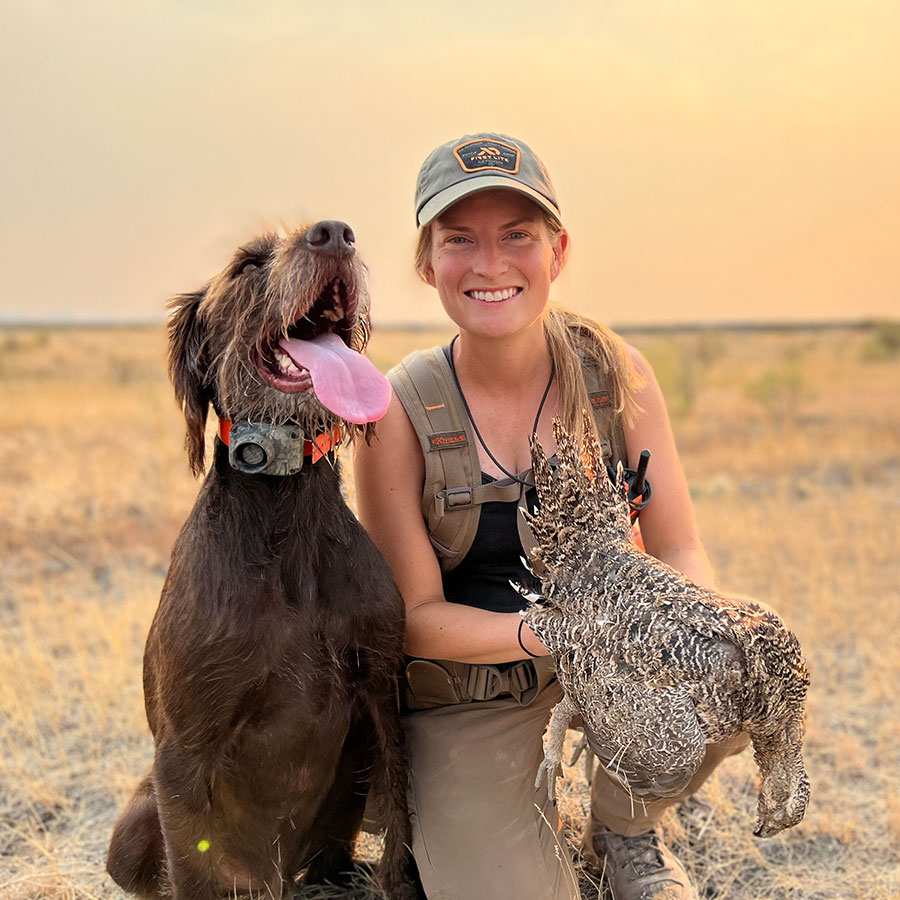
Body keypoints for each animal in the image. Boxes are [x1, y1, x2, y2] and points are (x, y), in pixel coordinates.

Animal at [104, 223, 418, 900]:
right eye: (247, 265)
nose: (336, 234)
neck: (285, 505)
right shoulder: (183, 751)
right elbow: (193, 865)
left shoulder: (382, 689)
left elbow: (404, 831)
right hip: (136, 822)